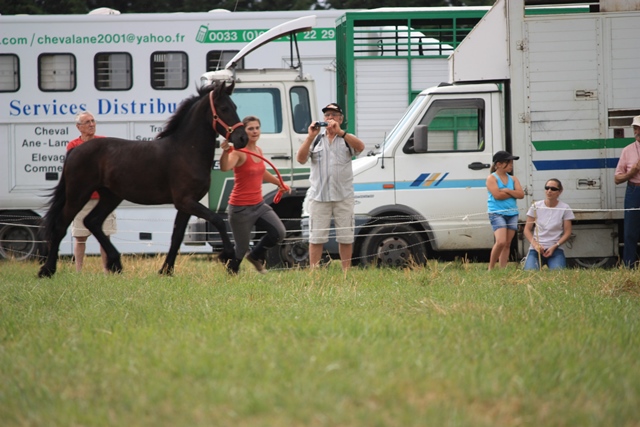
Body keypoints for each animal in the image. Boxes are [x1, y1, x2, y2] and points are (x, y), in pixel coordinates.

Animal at [38, 82, 248, 280]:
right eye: (224, 108)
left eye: (235, 106)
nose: (243, 138)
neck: (187, 150)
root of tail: (75, 150)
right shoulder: (186, 201)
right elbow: (218, 221)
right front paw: (230, 259)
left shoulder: (185, 205)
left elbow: (176, 236)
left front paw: (166, 270)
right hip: (78, 194)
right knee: (60, 226)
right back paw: (47, 270)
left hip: (110, 196)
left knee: (93, 222)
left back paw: (115, 263)